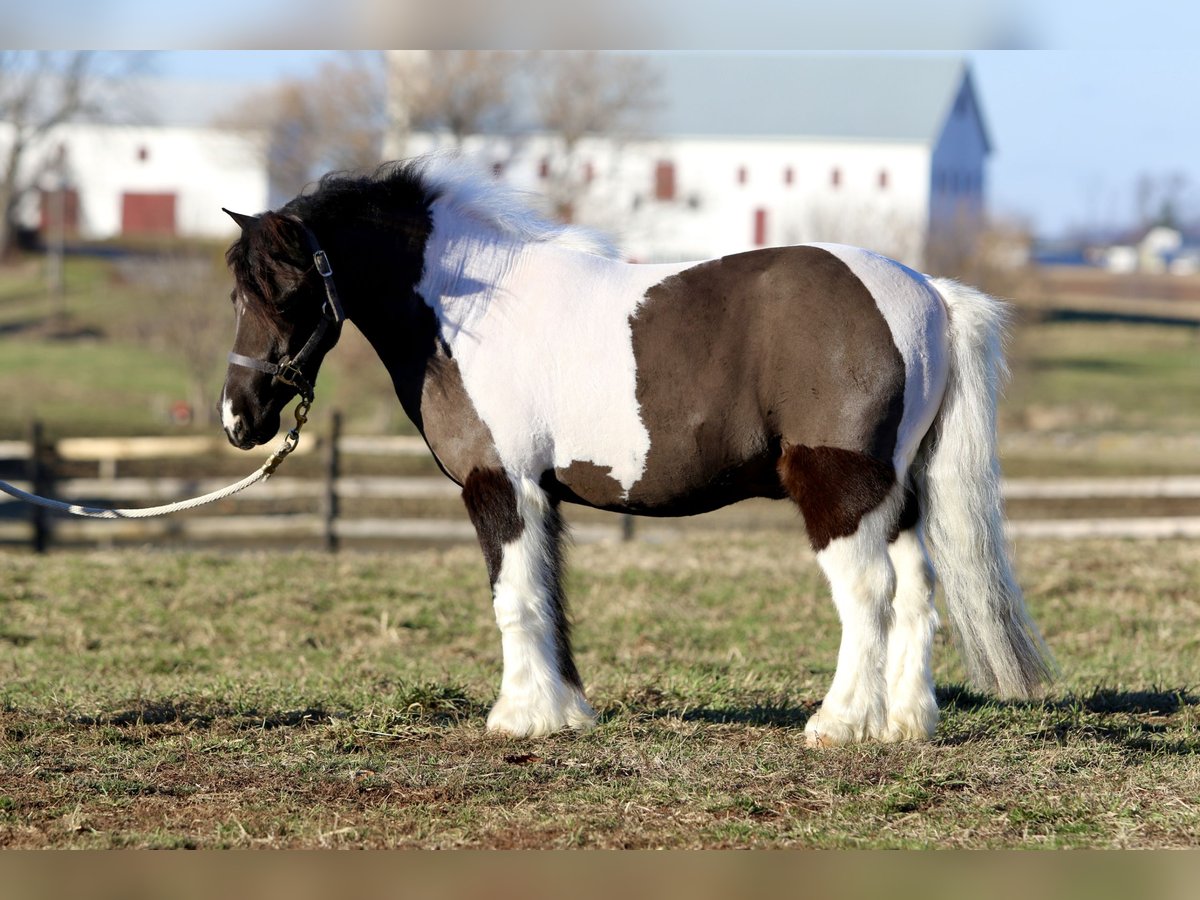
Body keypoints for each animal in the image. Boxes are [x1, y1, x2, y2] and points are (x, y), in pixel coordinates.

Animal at [218, 157, 1051, 748]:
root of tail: (930, 293)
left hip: (838, 489)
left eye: (284, 291)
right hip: (896, 494)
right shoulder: (540, 493)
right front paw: (565, 712)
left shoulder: (500, 484)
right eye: (237, 296)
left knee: (868, 593)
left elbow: (514, 597)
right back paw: (904, 725)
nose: (239, 417)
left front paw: (519, 716)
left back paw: (839, 724)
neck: (471, 308)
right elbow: (550, 596)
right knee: (916, 595)